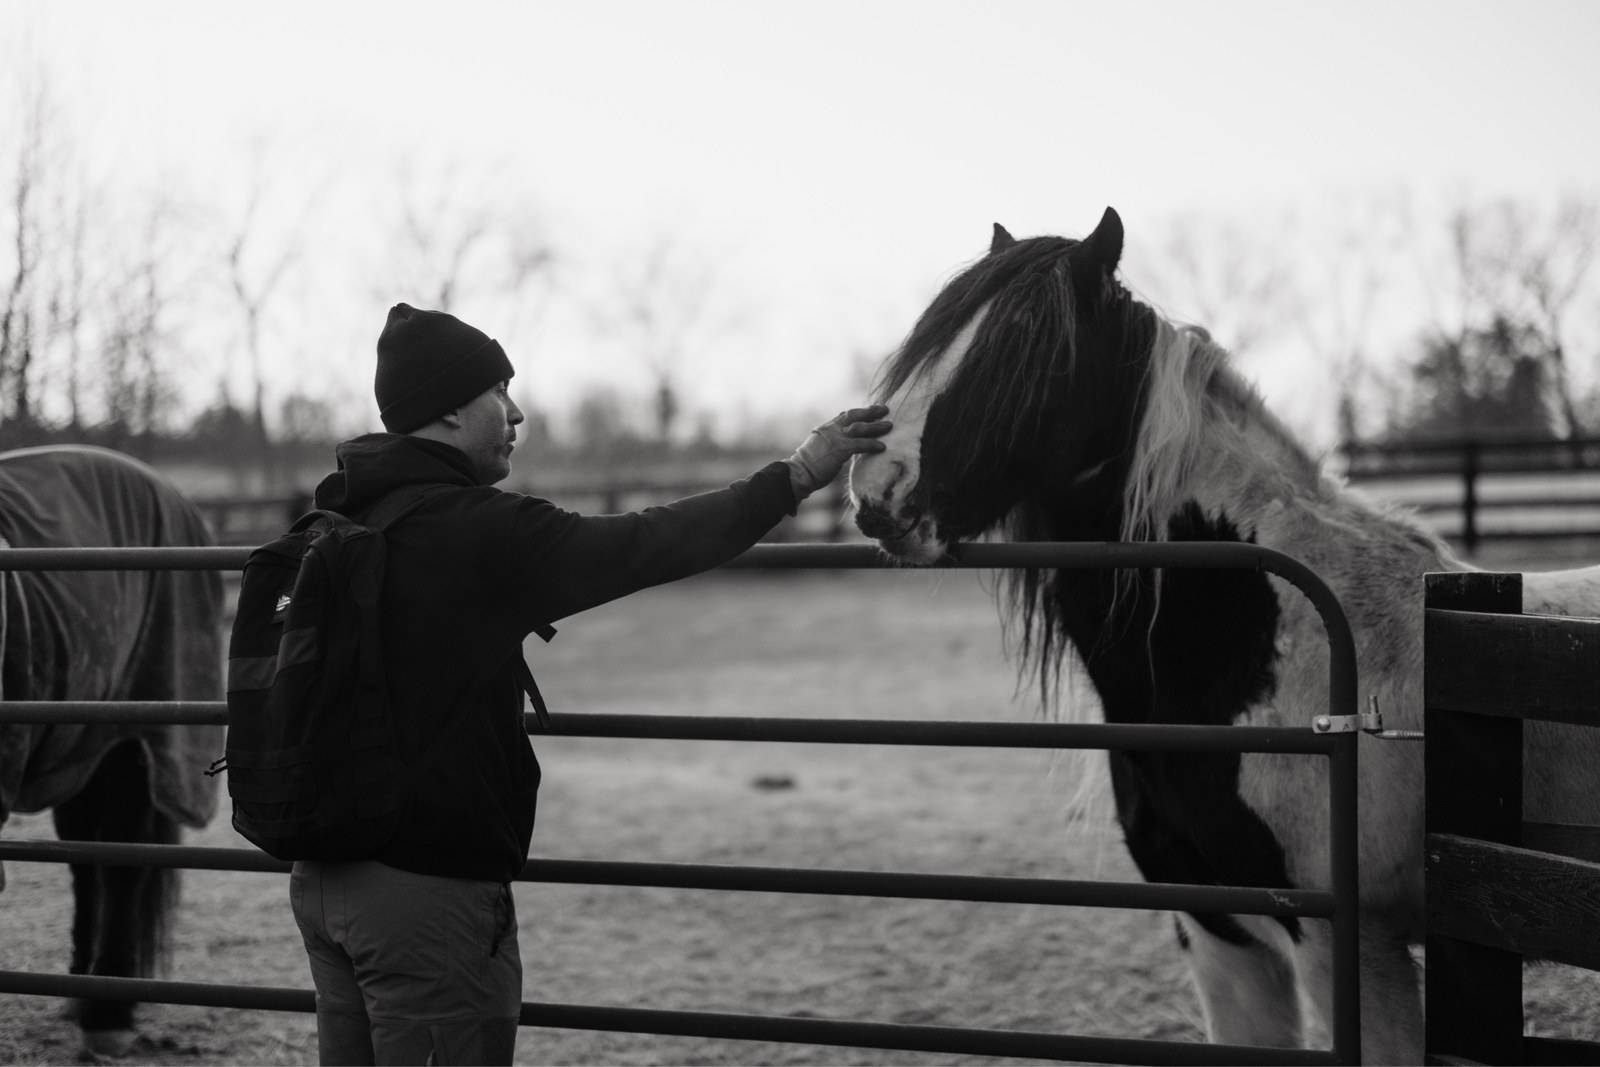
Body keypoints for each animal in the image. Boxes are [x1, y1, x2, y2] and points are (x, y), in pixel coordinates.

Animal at [0, 444, 223, 1057]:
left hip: (136, 741)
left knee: (123, 859)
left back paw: (108, 1014)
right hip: (80, 748)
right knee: (87, 860)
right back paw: (80, 991)